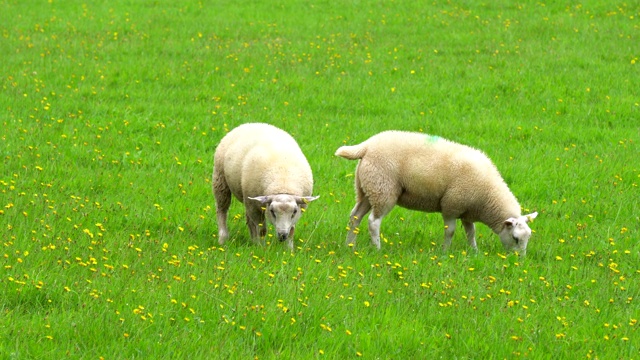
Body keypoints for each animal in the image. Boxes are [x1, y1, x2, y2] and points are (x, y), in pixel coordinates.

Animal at [338, 130, 536, 253]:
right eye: (516, 238)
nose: (518, 261)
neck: (488, 198)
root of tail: (367, 146)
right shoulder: (451, 205)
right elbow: (450, 232)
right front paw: (445, 252)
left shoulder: (466, 211)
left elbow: (471, 232)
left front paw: (474, 251)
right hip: (383, 189)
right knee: (373, 222)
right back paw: (377, 248)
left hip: (366, 188)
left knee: (355, 216)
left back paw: (349, 245)